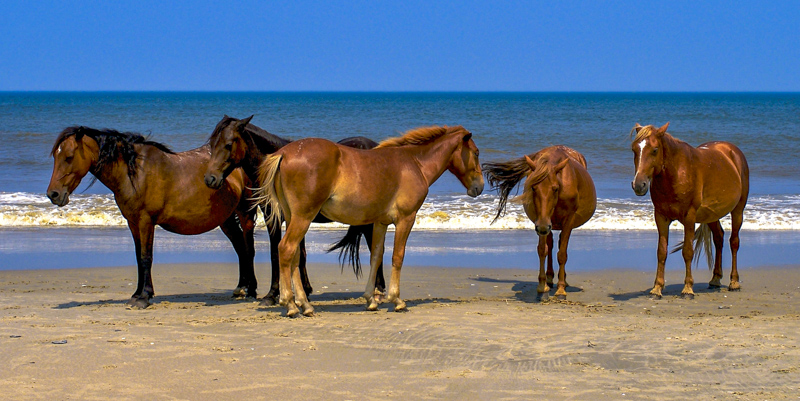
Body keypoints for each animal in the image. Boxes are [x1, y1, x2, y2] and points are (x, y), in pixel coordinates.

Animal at [46, 126, 259, 309]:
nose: (53, 194)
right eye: (56, 156)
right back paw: (241, 287)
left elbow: (146, 257)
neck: (134, 174)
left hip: (245, 213)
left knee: (248, 249)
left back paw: (251, 290)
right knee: (240, 248)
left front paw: (145, 296)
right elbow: (138, 257)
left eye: (69, 157)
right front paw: (136, 294)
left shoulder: (145, 221)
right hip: (226, 219)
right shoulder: (133, 223)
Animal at [203, 115, 386, 303]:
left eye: (228, 144)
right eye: (212, 144)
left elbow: (276, 254)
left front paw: (273, 293)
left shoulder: (278, 219)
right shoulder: (288, 218)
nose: (210, 179)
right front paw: (304, 291)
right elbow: (299, 255)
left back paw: (378, 289)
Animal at [254, 125, 483, 317]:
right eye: (476, 152)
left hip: (293, 217)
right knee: (286, 249)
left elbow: (376, 256)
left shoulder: (380, 222)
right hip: (303, 217)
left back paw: (304, 304)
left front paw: (371, 300)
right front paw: (396, 300)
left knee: (293, 256)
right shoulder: (405, 219)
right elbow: (397, 256)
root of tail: (284, 153)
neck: (414, 163)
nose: (479, 187)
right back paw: (290, 304)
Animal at [484, 145, 596, 300]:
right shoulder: (540, 222)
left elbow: (562, 254)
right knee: (551, 244)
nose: (543, 227)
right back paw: (549, 279)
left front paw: (561, 290)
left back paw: (562, 280)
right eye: (533, 187)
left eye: (555, 188)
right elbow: (543, 250)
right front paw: (542, 287)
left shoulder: (567, 221)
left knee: (560, 245)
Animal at [630, 122, 749, 299]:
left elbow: (687, 251)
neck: (676, 173)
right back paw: (715, 279)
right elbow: (661, 252)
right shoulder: (660, 217)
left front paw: (687, 289)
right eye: (634, 149)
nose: (639, 185)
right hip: (712, 215)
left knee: (734, 242)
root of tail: (733, 151)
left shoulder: (689, 218)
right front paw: (657, 288)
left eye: (655, 149)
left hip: (738, 210)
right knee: (719, 238)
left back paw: (734, 282)